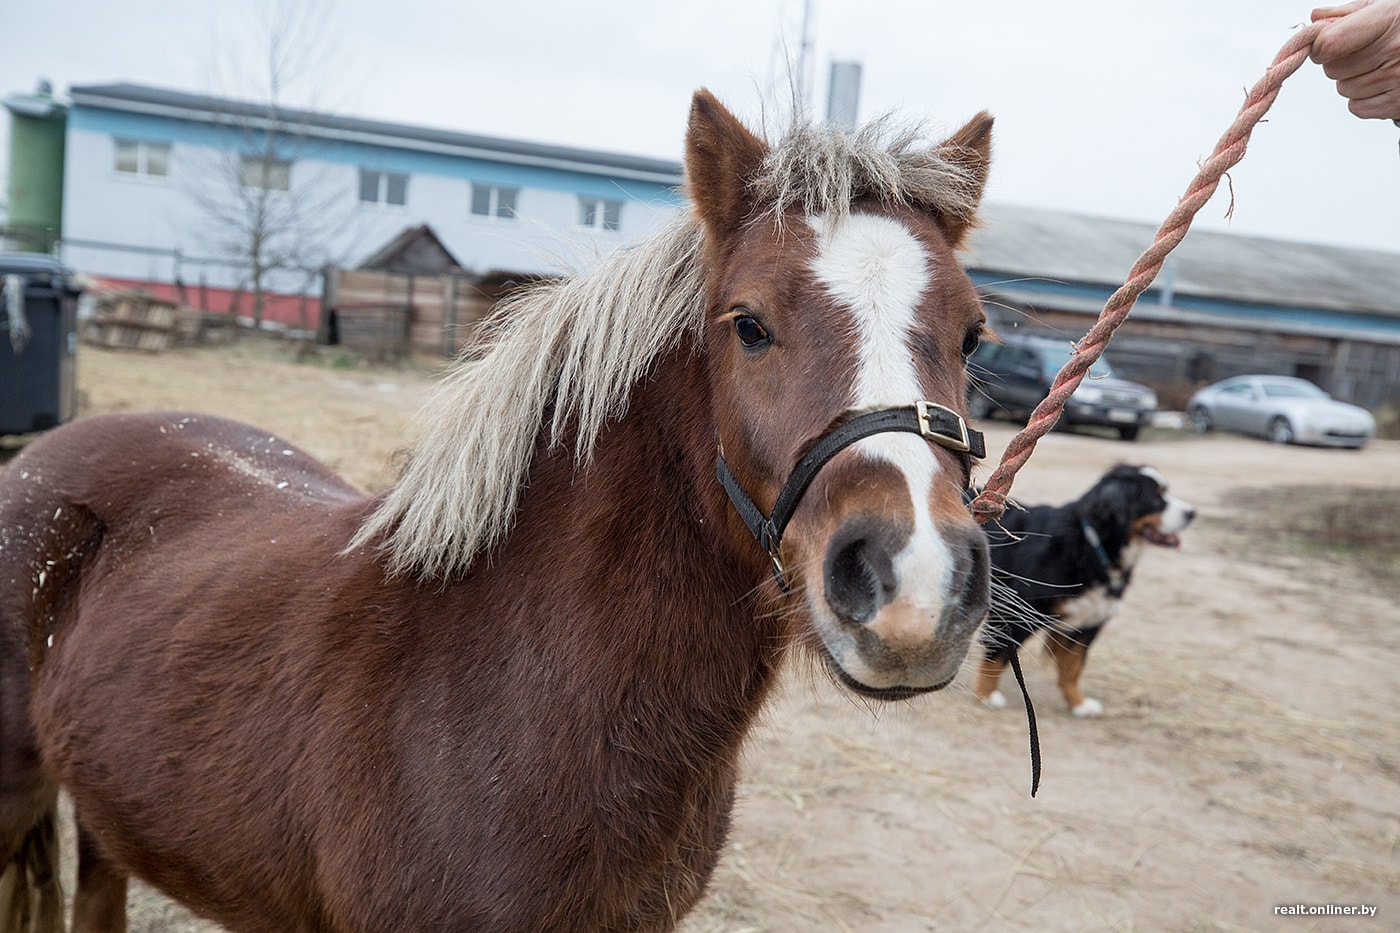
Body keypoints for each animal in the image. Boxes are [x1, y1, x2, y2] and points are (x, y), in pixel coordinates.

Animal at [974, 465, 1192, 717]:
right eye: (1156, 498)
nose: (1192, 513)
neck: (1093, 544)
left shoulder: (1088, 622)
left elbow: (1073, 667)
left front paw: (1078, 703)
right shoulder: (1017, 611)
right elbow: (997, 655)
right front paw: (987, 694)